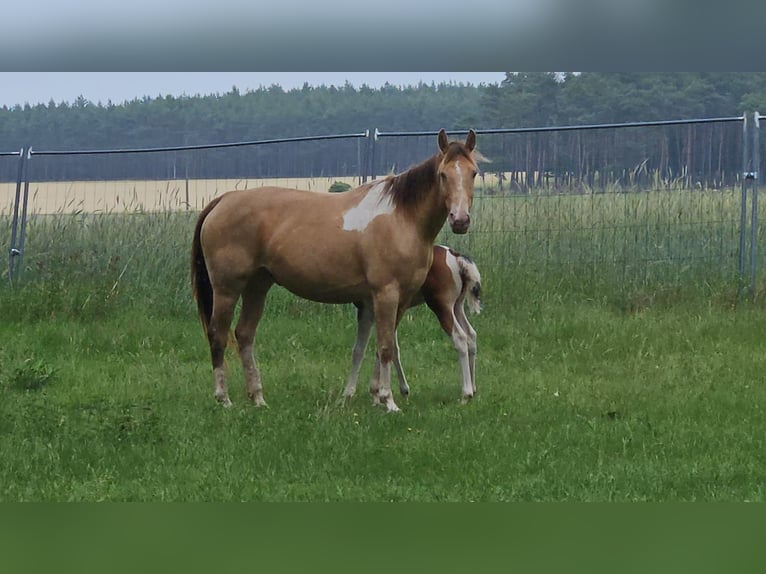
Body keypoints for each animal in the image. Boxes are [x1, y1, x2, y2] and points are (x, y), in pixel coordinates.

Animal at [343, 245, 482, 403]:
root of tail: (454, 255)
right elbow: (392, 348)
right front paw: (402, 389)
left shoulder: (367, 311)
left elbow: (359, 350)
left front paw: (351, 393)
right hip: (457, 306)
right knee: (471, 335)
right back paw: (473, 387)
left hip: (441, 306)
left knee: (460, 338)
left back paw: (466, 393)